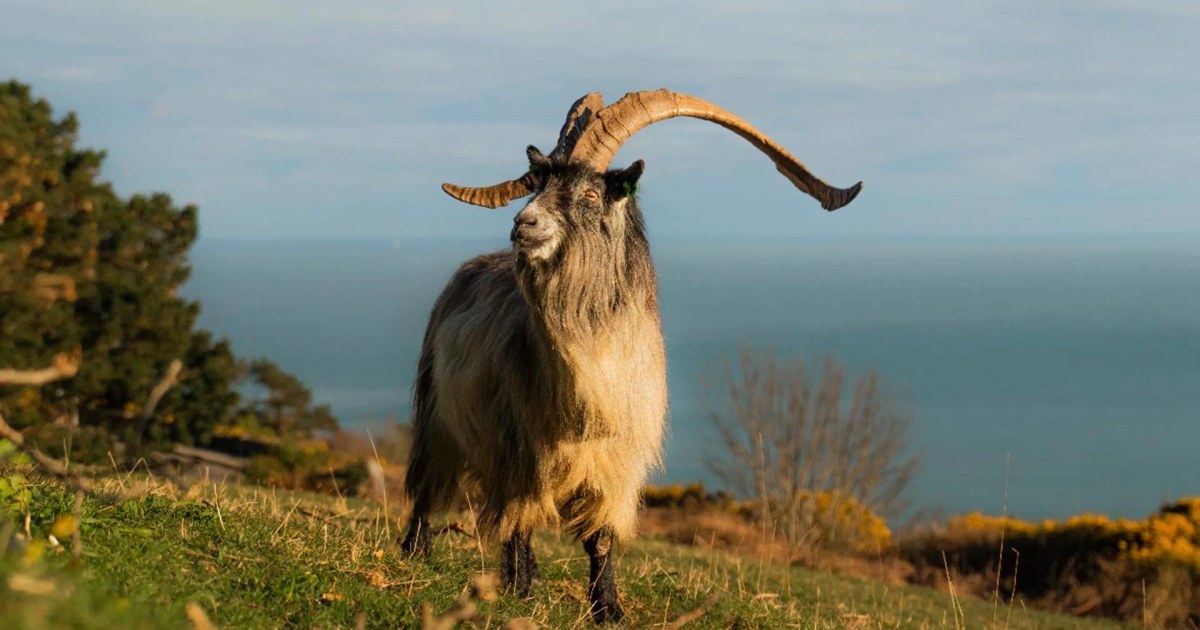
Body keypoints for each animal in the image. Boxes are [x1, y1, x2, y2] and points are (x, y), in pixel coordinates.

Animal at [401, 89, 863, 624]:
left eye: (590, 195)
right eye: (539, 185)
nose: (523, 224)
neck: (590, 371)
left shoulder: (617, 462)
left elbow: (601, 539)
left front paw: (609, 610)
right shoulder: (520, 448)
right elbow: (519, 521)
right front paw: (521, 593)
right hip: (437, 417)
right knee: (430, 487)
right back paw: (418, 552)